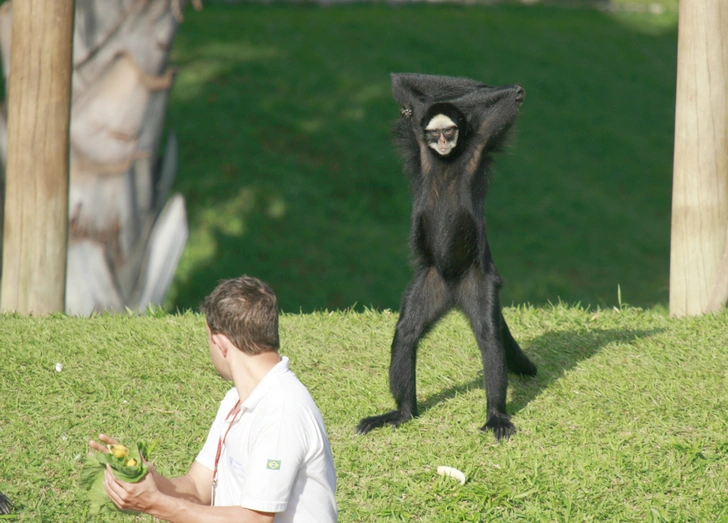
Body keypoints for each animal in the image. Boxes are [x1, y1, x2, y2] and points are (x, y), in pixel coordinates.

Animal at [356, 73, 536, 442]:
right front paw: (412, 108)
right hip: (432, 280)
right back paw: (404, 412)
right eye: (434, 134)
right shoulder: (418, 140)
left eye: (450, 132)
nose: (441, 142)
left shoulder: (483, 139)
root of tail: (453, 289)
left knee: (488, 336)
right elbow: (401, 83)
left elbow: (515, 93)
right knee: (406, 333)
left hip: (476, 279)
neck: (444, 161)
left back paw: (496, 414)